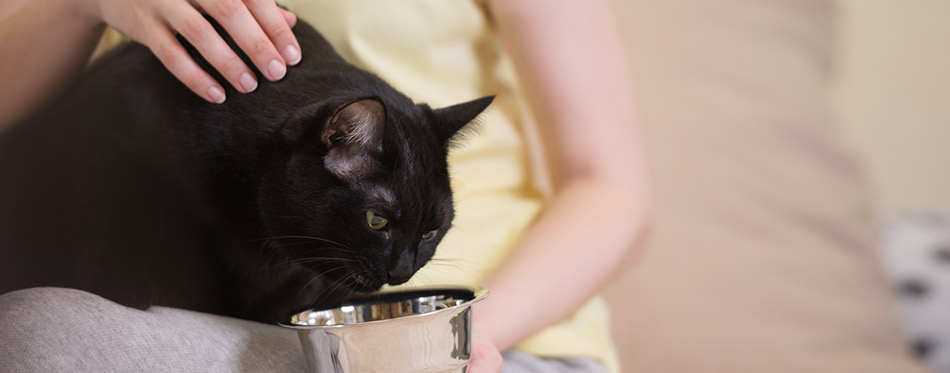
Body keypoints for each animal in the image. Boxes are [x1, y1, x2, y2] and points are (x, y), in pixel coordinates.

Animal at [0, 18, 490, 322]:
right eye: (377, 221)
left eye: (431, 231)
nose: (401, 273)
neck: (252, 232)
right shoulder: (104, 128)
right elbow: (111, 203)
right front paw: (122, 286)